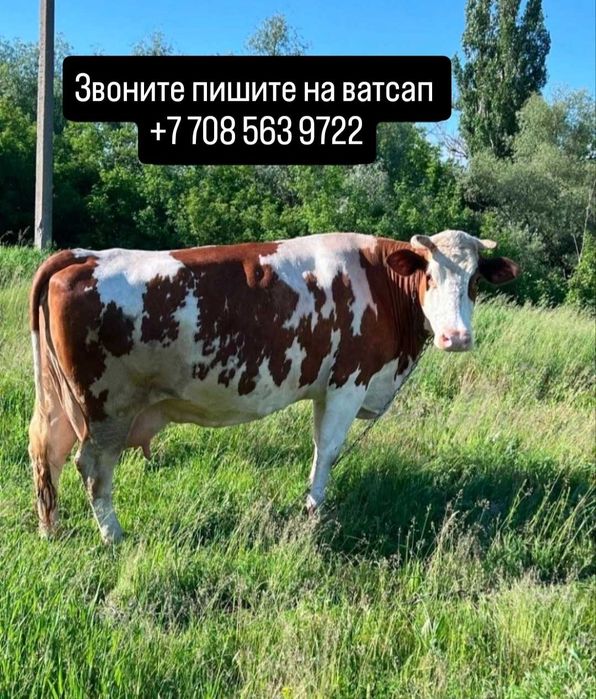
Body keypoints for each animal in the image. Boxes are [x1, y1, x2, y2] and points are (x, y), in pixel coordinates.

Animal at [28, 231, 519, 543]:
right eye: (430, 276)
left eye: (474, 282)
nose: (456, 337)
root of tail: (83, 255)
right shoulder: (348, 382)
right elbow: (327, 451)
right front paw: (314, 514)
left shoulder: (328, 387)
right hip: (106, 408)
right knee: (92, 468)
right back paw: (113, 535)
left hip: (59, 401)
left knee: (46, 451)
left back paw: (51, 529)